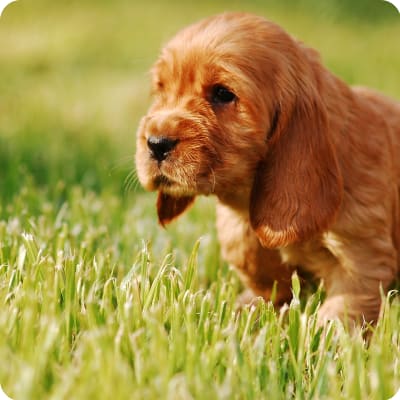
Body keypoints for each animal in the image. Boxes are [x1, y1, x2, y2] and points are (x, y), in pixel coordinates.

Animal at [135, 12, 400, 324]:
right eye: (161, 91)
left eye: (223, 94)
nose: (156, 143)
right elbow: (254, 262)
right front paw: (248, 308)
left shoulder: (362, 248)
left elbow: (347, 301)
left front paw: (327, 332)